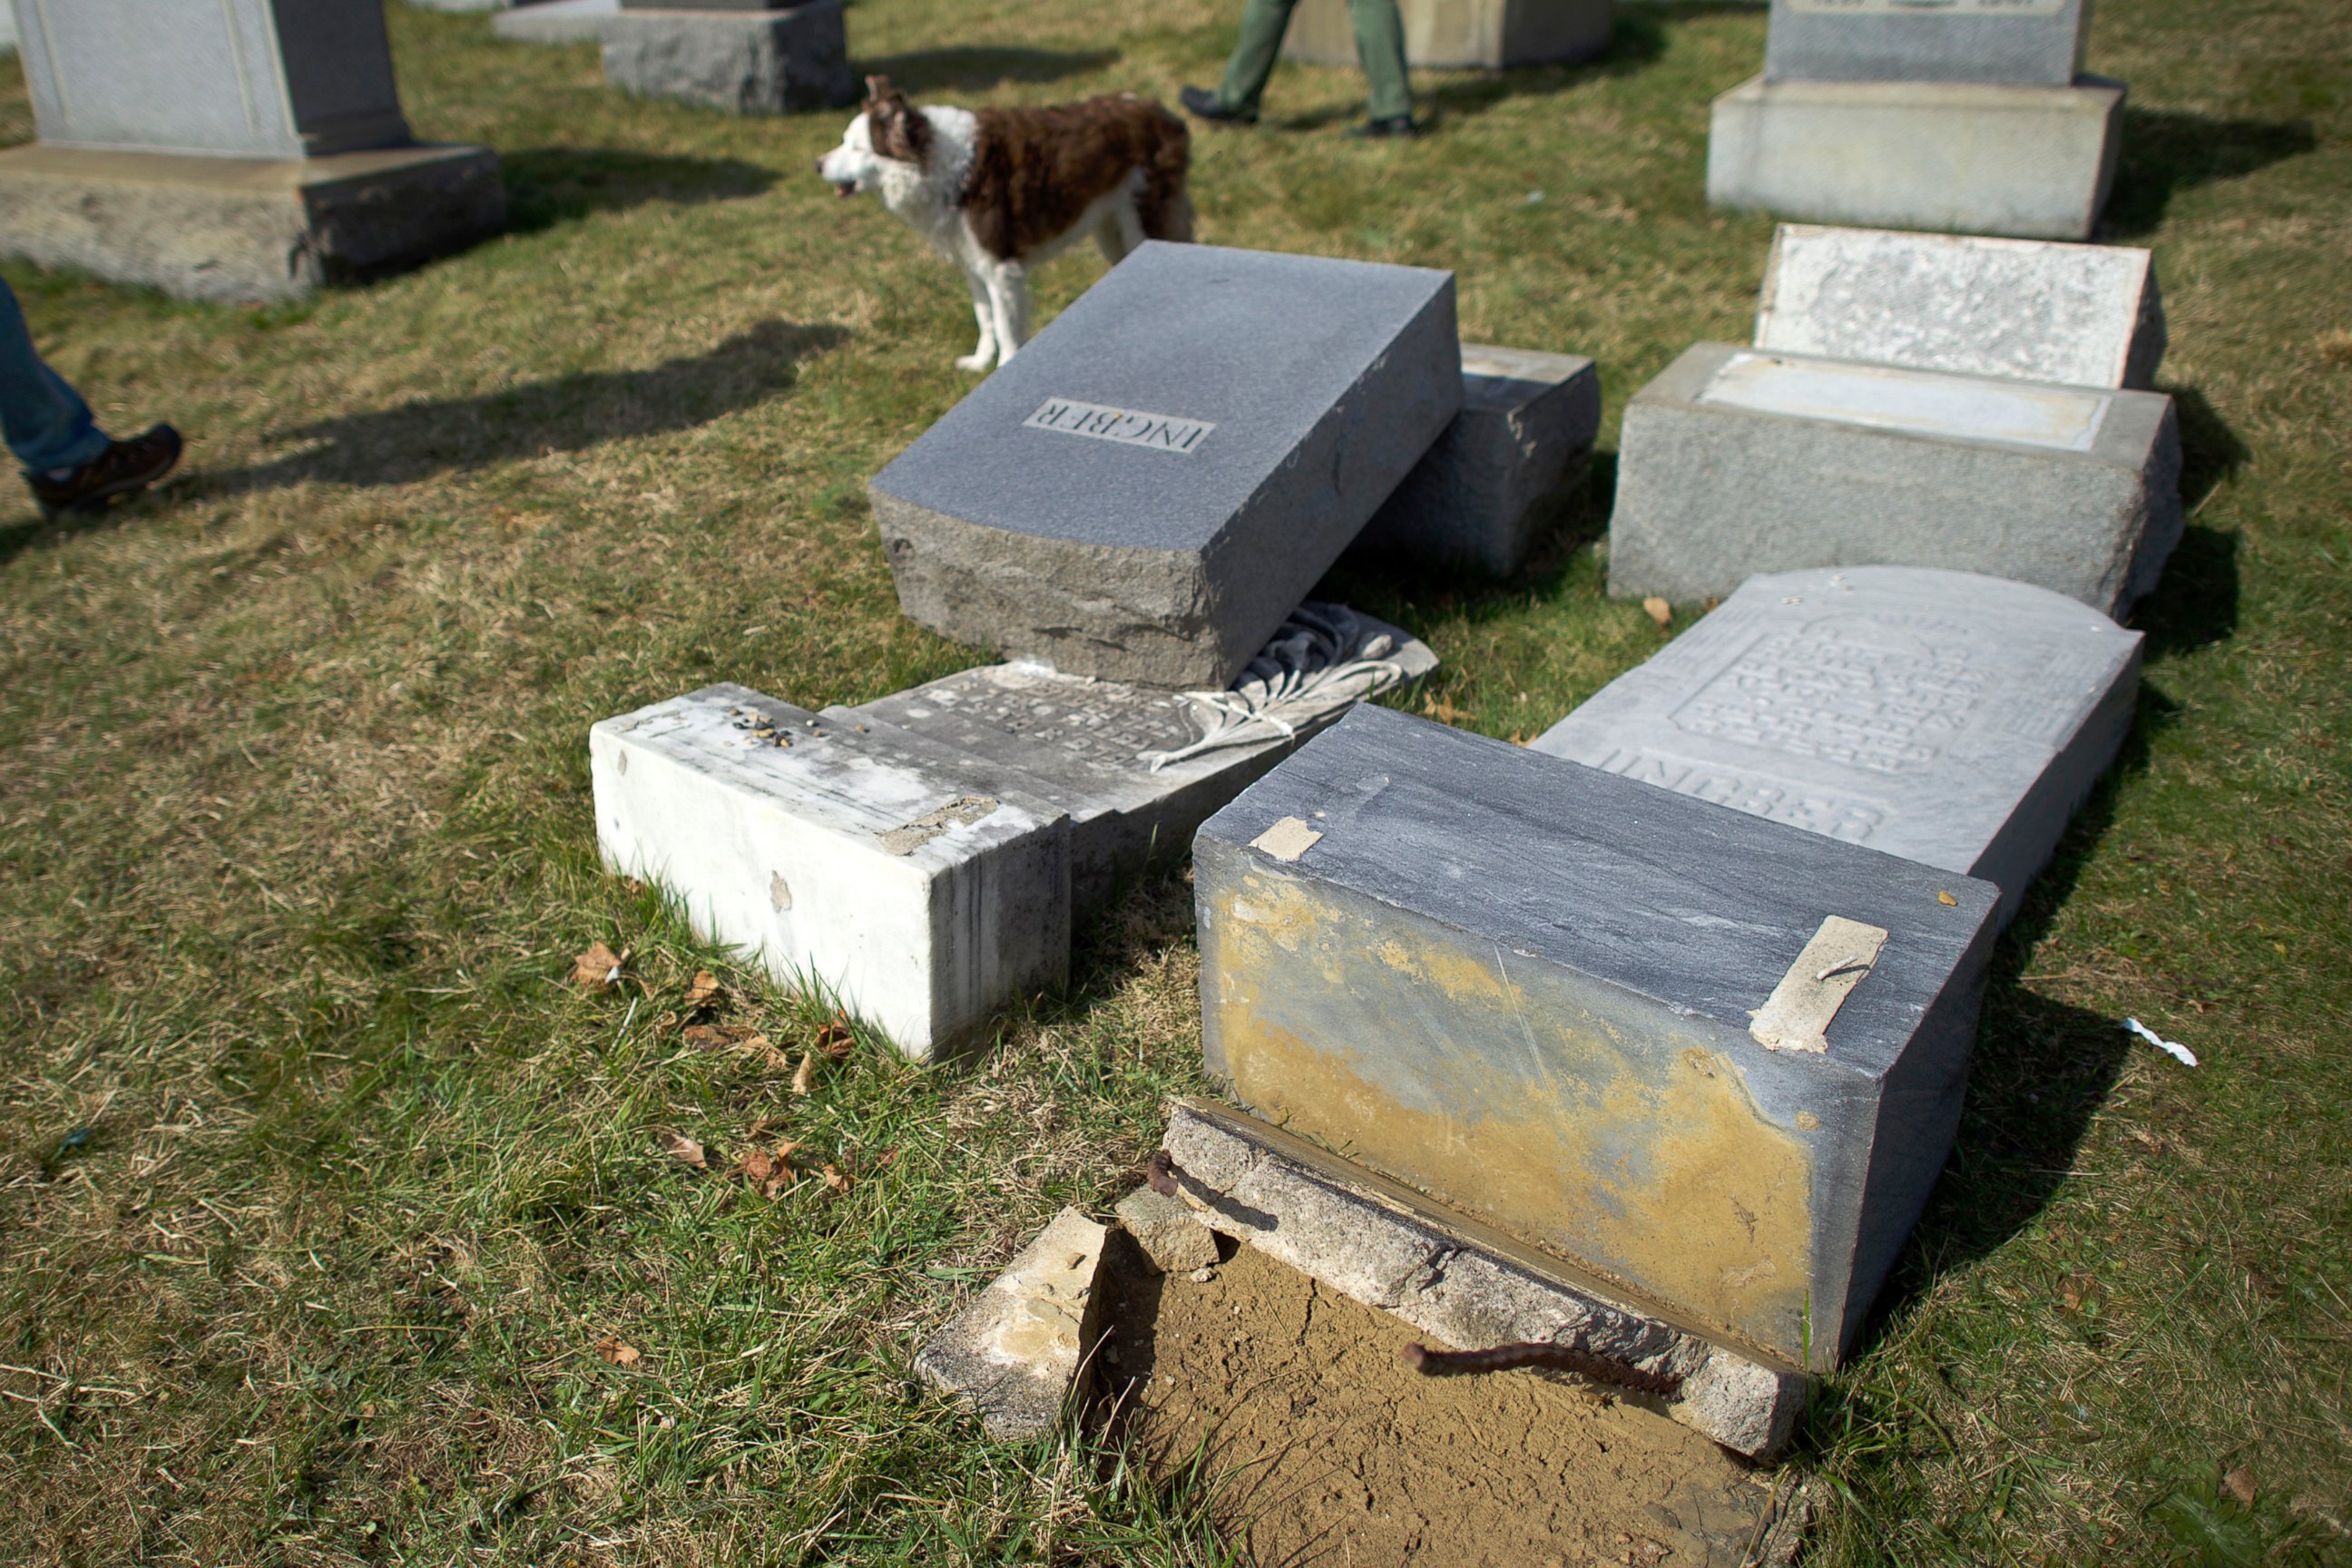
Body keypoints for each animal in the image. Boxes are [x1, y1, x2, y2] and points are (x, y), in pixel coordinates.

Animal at [828, 80, 1194, 373]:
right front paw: (980, 364)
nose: (818, 165)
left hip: (1145, 220)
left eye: (856, 148)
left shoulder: (999, 266)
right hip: (1112, 230)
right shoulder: (973, 263)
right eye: (843, 141)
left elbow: (1005, 325)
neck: (940, 163)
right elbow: (985, 317)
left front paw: (1004, 366)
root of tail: (1162, 111)